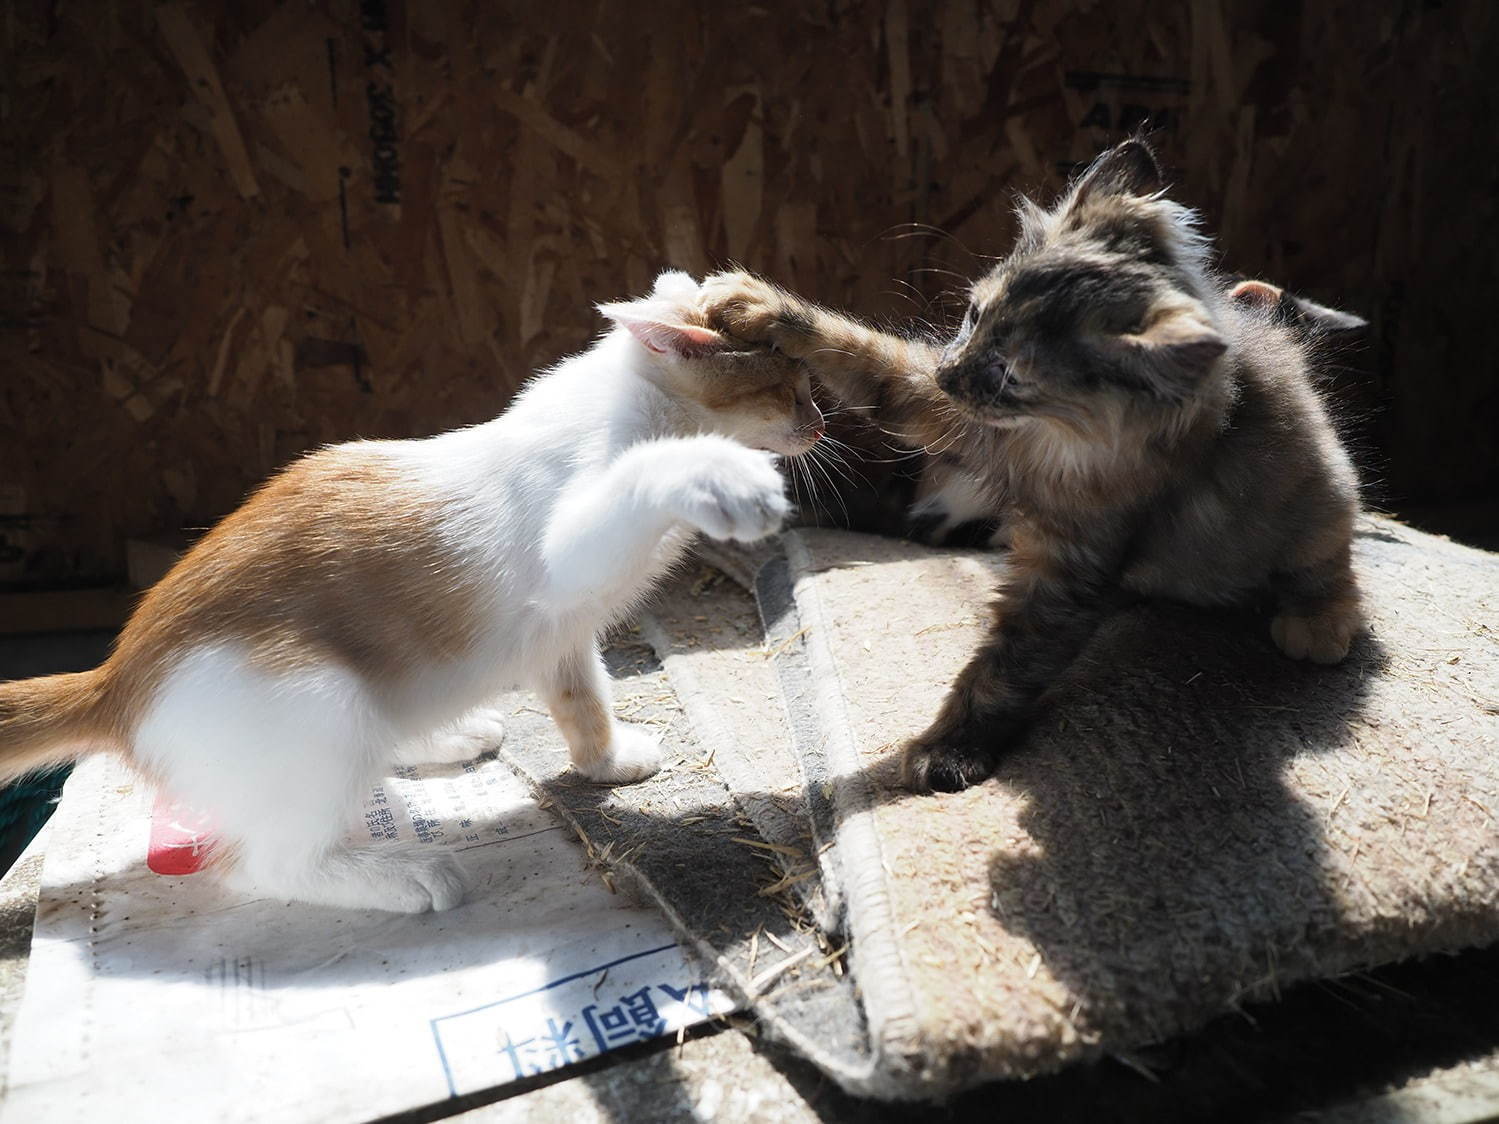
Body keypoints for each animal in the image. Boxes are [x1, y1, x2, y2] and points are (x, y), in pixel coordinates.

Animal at [0, 271, 827, 917]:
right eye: (786, 389)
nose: (820, 424)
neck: (629, 411)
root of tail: (116, 679)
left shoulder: (561, 631)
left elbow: (582, 696)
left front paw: (606, 758)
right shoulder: (566, 551)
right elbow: (641, 481)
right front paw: (717, 472)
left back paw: (446, 739)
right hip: (320, 704)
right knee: (265, 863)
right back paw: (402, 876)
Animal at [695, 138, 1367, 791]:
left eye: (1010, 374)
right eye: (973, 318)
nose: (949, 373)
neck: (1050, 439)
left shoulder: (1071, 561)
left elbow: (1006, 666)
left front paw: (947, 751)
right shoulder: (946, 412)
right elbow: (861, 354)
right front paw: (757, 306)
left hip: (1322, 499)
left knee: (1327, 564)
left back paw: (1318, 625)